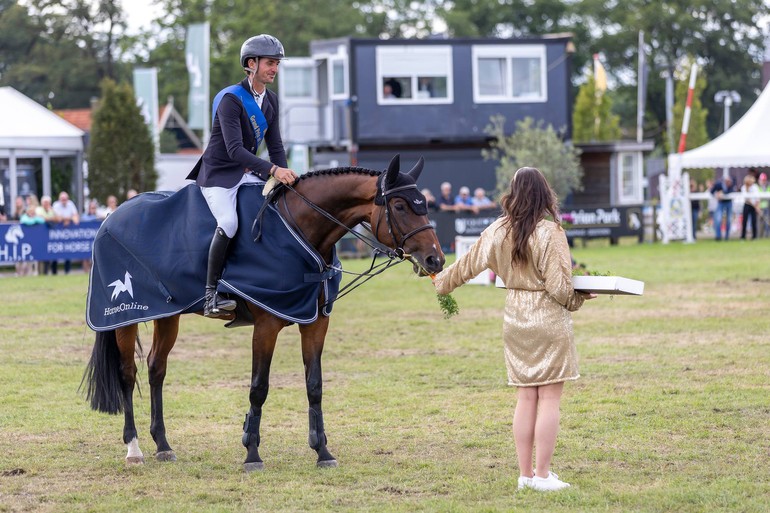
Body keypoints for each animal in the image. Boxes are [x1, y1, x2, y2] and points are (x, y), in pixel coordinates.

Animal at [82, 154, 444, 470]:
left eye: (425, 205)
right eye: (400, 206)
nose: (436, 260)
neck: (299, 231)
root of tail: (111, 216)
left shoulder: (316, 324)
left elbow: (315, 385)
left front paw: (322, 451)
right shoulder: (266, 327)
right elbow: (259, 388)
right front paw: (252, 453)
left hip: (168, 314)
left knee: (157, 368)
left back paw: (163, 445)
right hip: (124, 317)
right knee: (128, 374)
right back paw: (134, 449)